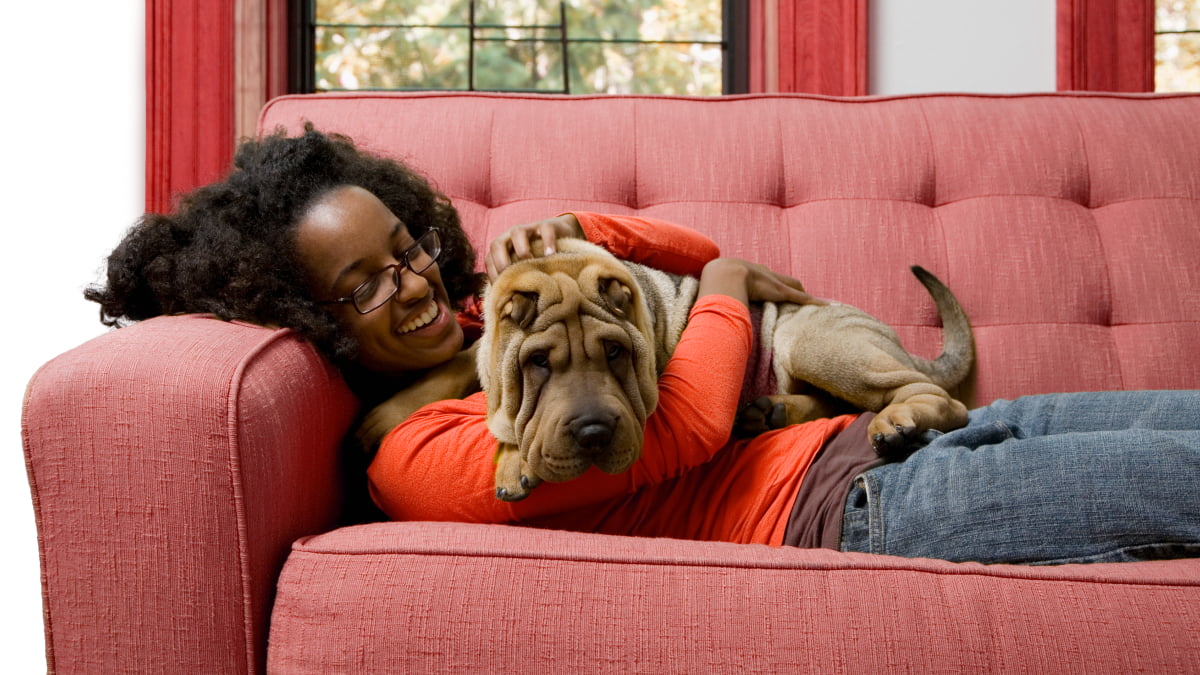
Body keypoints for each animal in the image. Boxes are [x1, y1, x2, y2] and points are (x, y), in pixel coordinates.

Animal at [480, 237, 974, 499]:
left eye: (616, 352)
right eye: (538, 363)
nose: (593, 433)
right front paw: (510, 459)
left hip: (815, 344)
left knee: (939, 400)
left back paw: (898, 420)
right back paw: (771, 411)